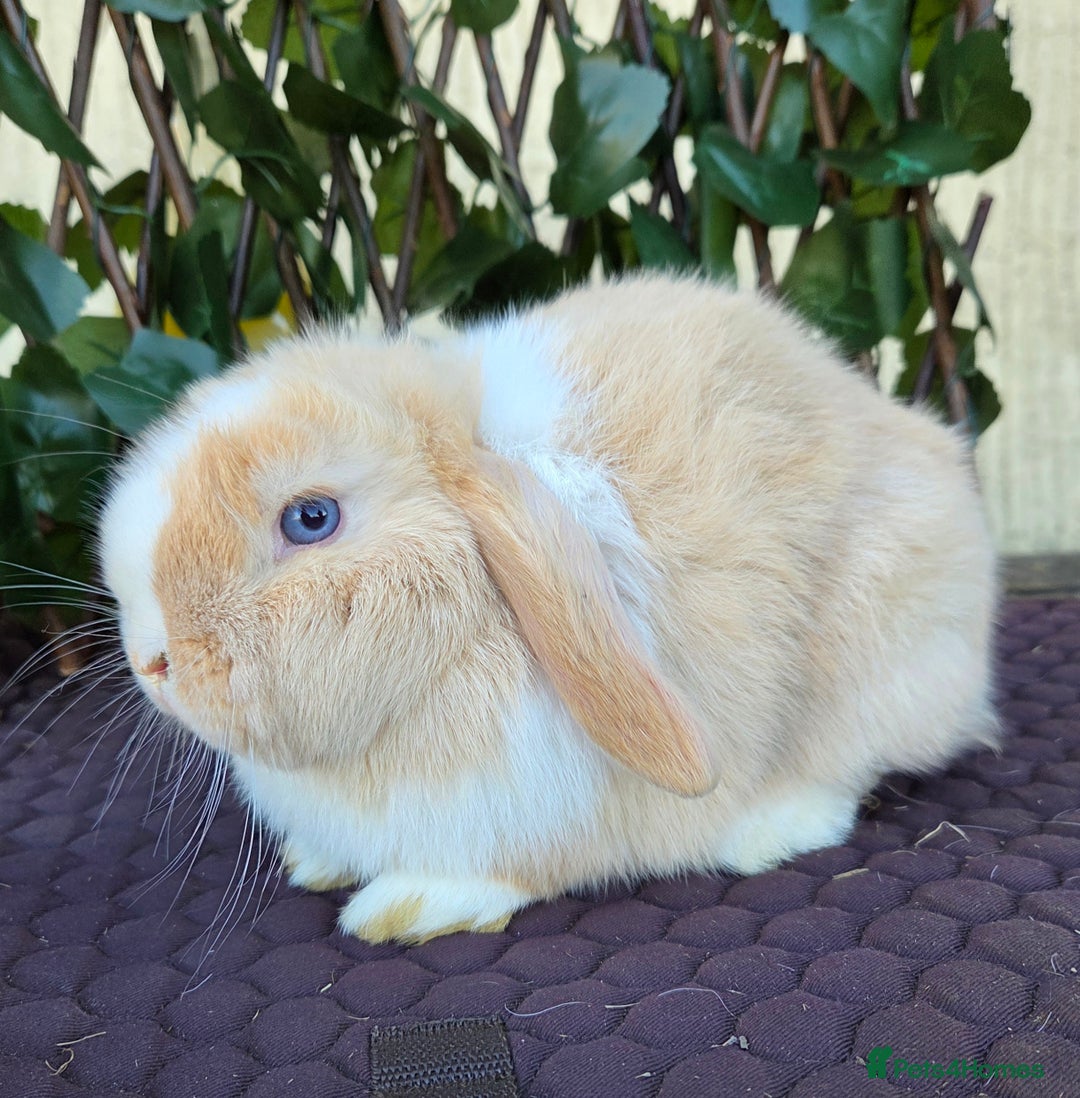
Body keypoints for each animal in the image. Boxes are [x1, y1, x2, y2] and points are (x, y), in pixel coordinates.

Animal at [98, 274, 999, 944]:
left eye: (310, 518)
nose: (153, 660)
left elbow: (499, 871)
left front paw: (404, 907)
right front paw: (316, 863)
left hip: (879, 643)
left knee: (850, 766)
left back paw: (767, 827)